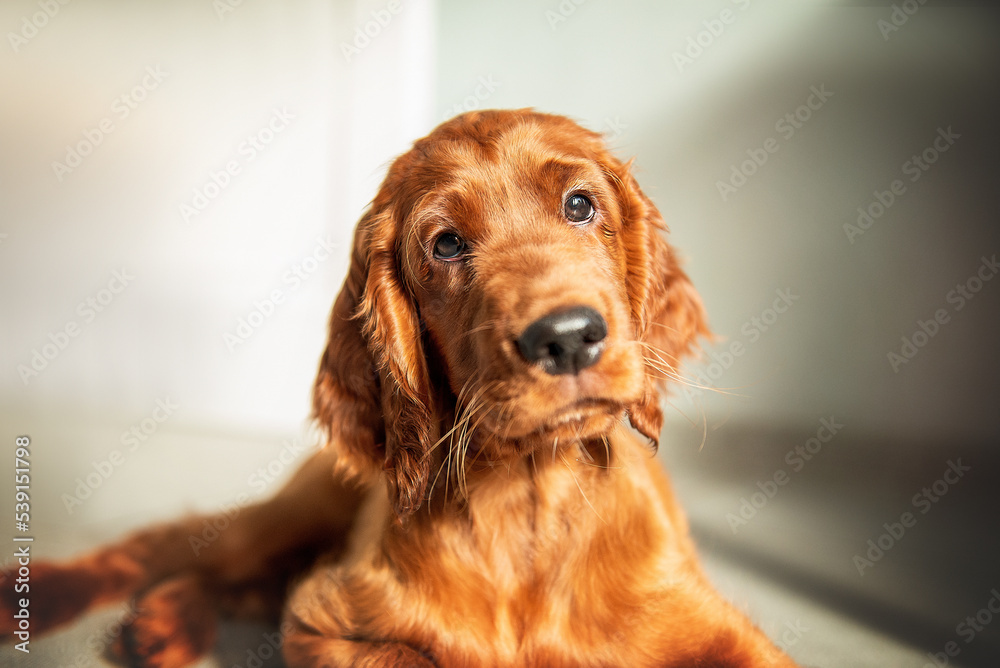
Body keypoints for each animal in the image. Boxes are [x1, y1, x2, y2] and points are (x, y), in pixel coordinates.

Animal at [0, 111, 796, 668]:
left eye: (579, 205)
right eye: (445, 245)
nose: (567, 336)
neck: (528, 504)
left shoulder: (725, 634)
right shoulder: (323, 621)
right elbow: (413, 655)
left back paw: (162, 627)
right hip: (295, 515)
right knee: (165, 551)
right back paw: (41, 600)